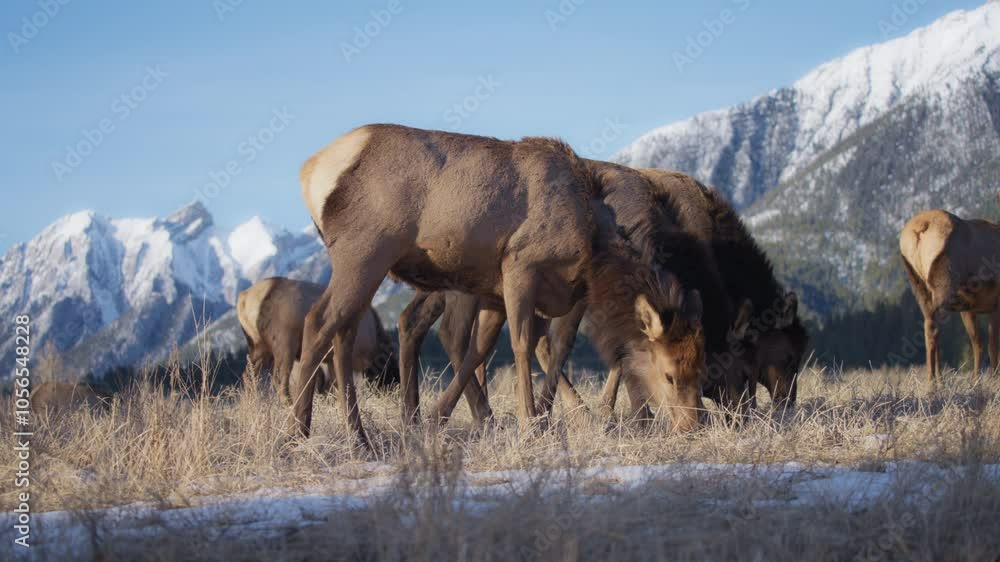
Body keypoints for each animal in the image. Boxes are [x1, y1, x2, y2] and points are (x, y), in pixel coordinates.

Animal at [237, 277, 398, 405]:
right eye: (392, 371)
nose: (391, 393)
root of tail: (244, 300)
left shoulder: (329, 358)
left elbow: (332, 387)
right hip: (284, 342)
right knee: (279, 380)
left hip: (258, 346)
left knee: (248, 376)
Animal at [291, 124, 707, 452]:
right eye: (669, 374)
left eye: (698, 368)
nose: (692, 426)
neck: (592, 236)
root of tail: (309, 170)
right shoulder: (519, 264)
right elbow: (522, 344)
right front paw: (532, 426)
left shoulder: (496, 292)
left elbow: (481, 349)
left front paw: (443, 419)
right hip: (364, 250)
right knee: (318, 322)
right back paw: (298, 431)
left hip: (374, 266)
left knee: (347, 333)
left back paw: (359, 436)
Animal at [900, 206, 1000, 382]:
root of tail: (920, 228)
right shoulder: (995, 301)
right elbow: (993, 346)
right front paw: (993, 380)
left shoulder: (968, 308)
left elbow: (978, 344)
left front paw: (976, 381)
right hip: (943, 284)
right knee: (936, 330)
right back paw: (937, 381)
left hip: (919, 285)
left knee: (928, 328)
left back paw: (933, 380)